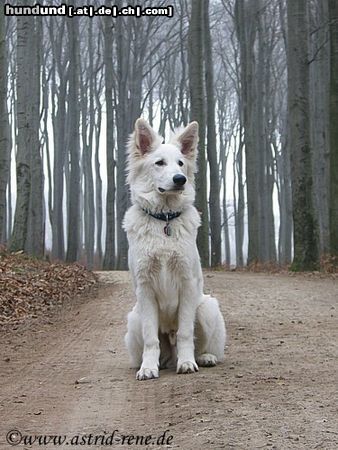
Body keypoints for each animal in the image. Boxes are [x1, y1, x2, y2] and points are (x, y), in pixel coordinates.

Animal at [123, 118, 226, 380]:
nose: (181, 179)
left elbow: (185, 334)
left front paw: (187, 363)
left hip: (207, 308)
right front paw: (148, 368)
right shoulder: (145, 289)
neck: (164, 220)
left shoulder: (187, 284)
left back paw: (204, 357)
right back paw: (157, 363)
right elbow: (151, 338)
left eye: (180, 163)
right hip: (134, 317)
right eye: (159, 163)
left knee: (199, 344)